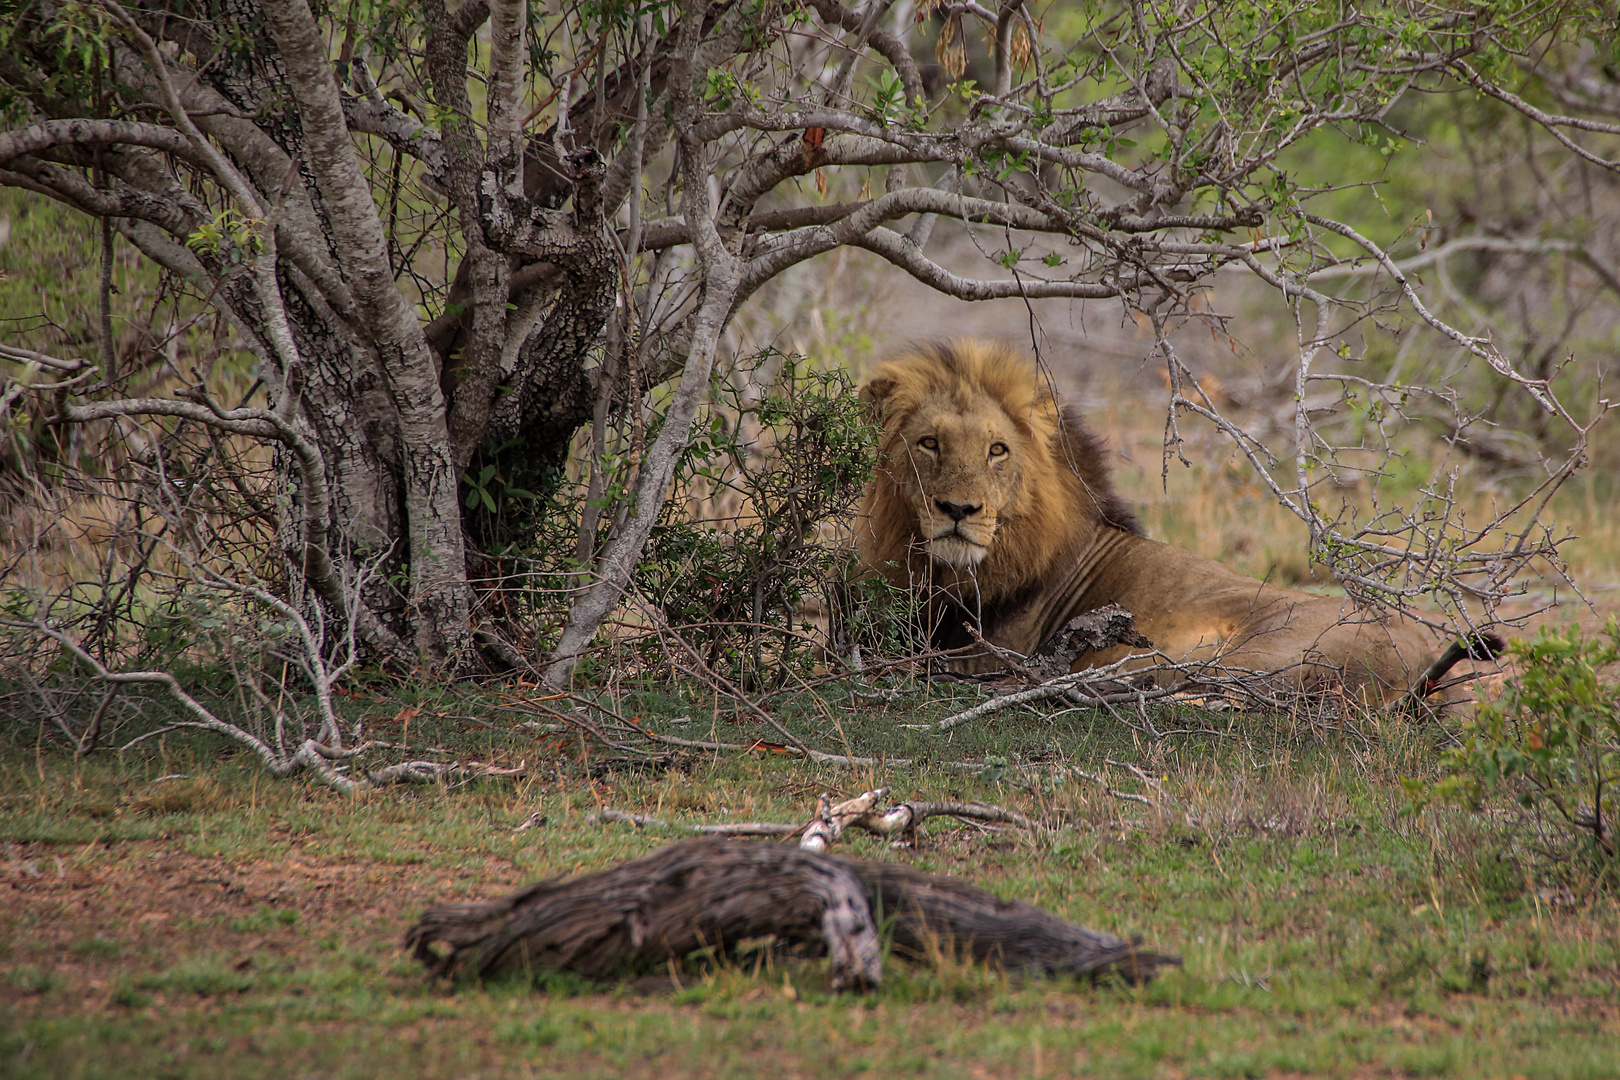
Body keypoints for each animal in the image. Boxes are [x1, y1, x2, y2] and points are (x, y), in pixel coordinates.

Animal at [855, 340, 1496, 709]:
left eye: (996, 451)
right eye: (929, 443)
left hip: (1253, 657)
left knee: (1217, 697)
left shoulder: (991, 647)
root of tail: (1429, 657)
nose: (958, 511)